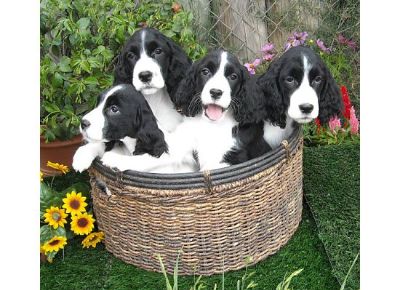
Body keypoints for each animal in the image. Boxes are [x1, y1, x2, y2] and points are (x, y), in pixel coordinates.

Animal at [100, 49, 264, 172]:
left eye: (233, 76)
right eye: (205, 72)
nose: (216, 92)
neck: (211, 125)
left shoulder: (233, 159)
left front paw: (113, 158)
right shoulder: (181, 144)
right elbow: (155, 157)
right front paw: (116, 158)